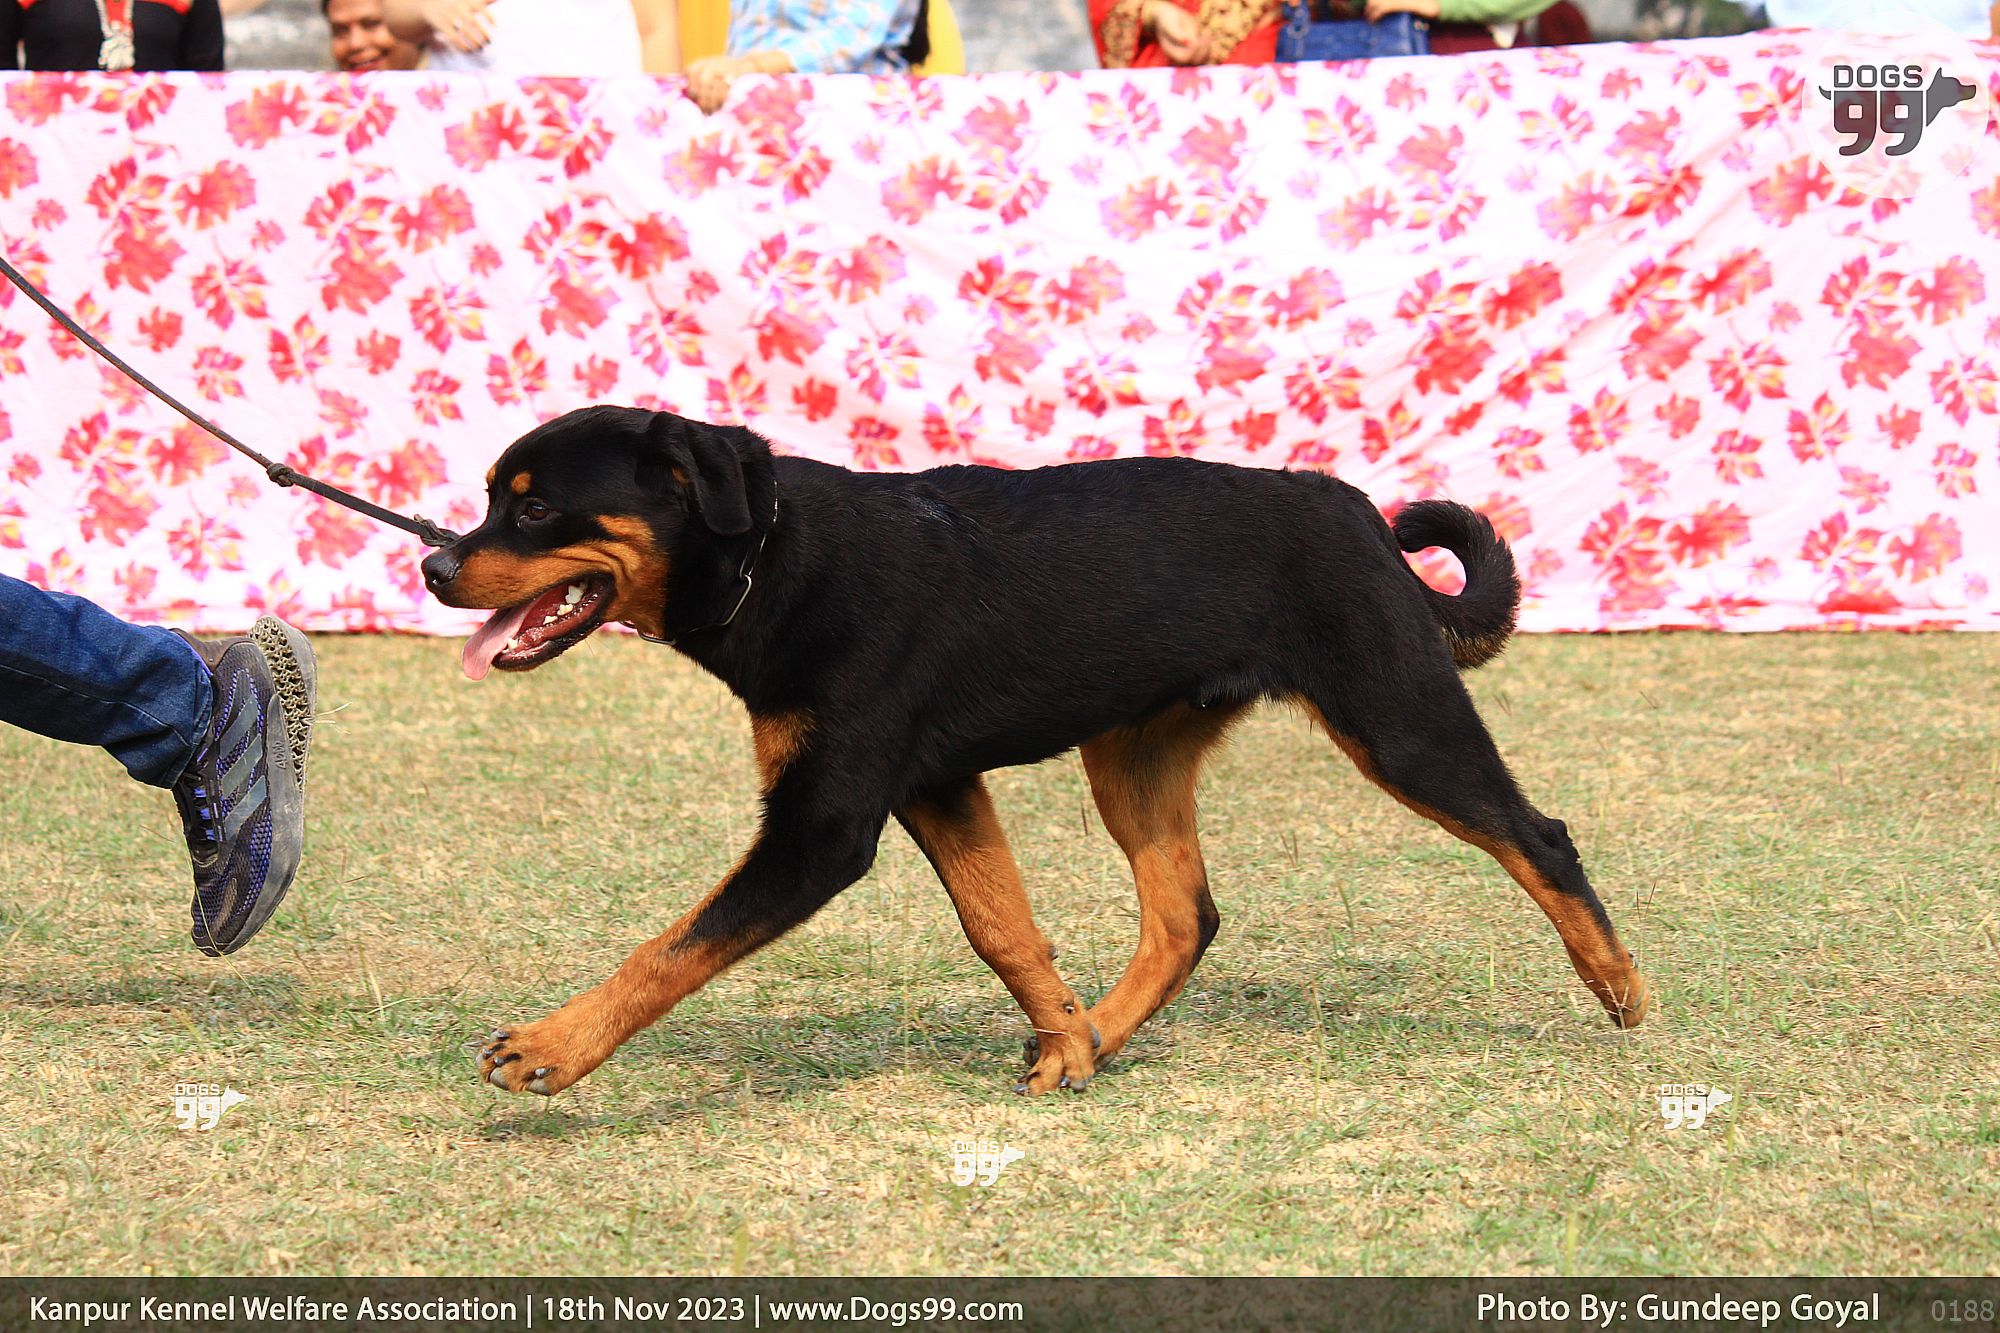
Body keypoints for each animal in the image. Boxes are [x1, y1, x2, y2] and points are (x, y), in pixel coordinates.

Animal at [422, 406, 1651, 1097]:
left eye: (533, 512)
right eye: (491, 500)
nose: (434, 566)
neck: (772, 555)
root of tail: (1350, 505)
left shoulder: (825, 825)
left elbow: (671, 947)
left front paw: (551, 1047)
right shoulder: (935, 785)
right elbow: (1000, 925)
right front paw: (1066, 1042)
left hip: (1395, 716)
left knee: (1538, 834)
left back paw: (1618, 982)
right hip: (1134, 755)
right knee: (1184, 916)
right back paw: (1101, 1031)